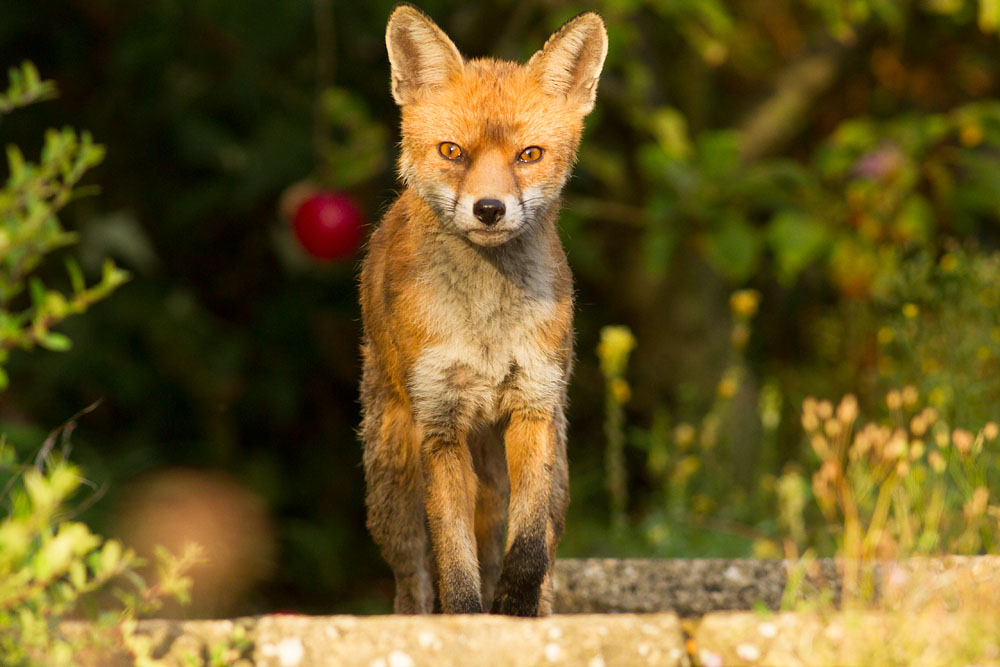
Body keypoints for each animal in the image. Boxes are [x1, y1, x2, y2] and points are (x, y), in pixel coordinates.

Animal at [360, 3, 607, 616]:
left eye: (529, 155)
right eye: (453, 151)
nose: (490, 209)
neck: (487, 326)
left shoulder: (534, 405)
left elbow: (528, 550)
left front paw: (513, 610)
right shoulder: (440, 423)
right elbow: (455, 563)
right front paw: (470, 622)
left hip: (551, 467)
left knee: (535, 545)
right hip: (393, 482)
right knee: (412, 581)